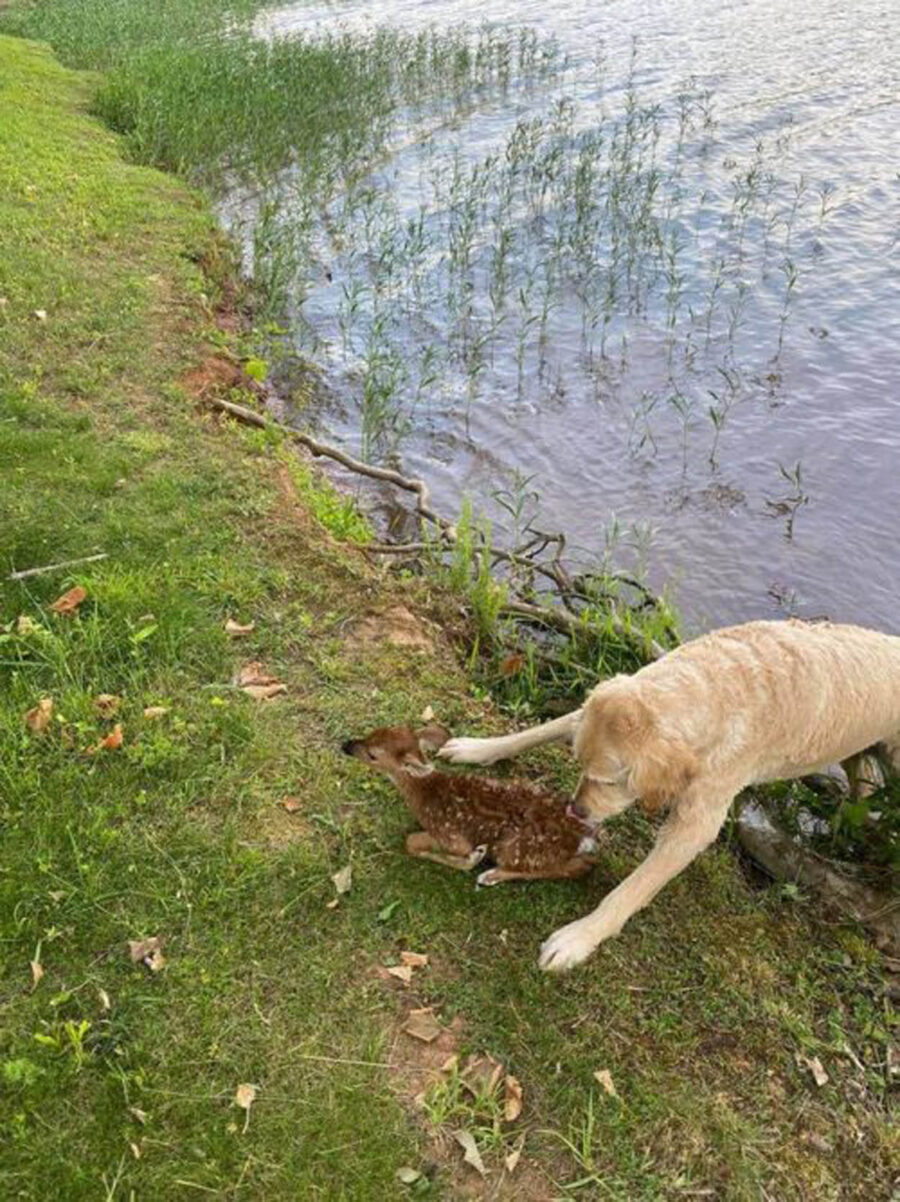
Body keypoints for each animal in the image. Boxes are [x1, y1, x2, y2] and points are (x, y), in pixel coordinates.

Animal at [439, 625, 898, 971]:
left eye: (610, 783)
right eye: (580, 765)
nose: (576, 810)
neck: (717, 687)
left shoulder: (696, 821)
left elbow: (632, 889)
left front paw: (578, 938)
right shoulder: (594, 708)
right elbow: (538, 730)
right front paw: (477, 748)